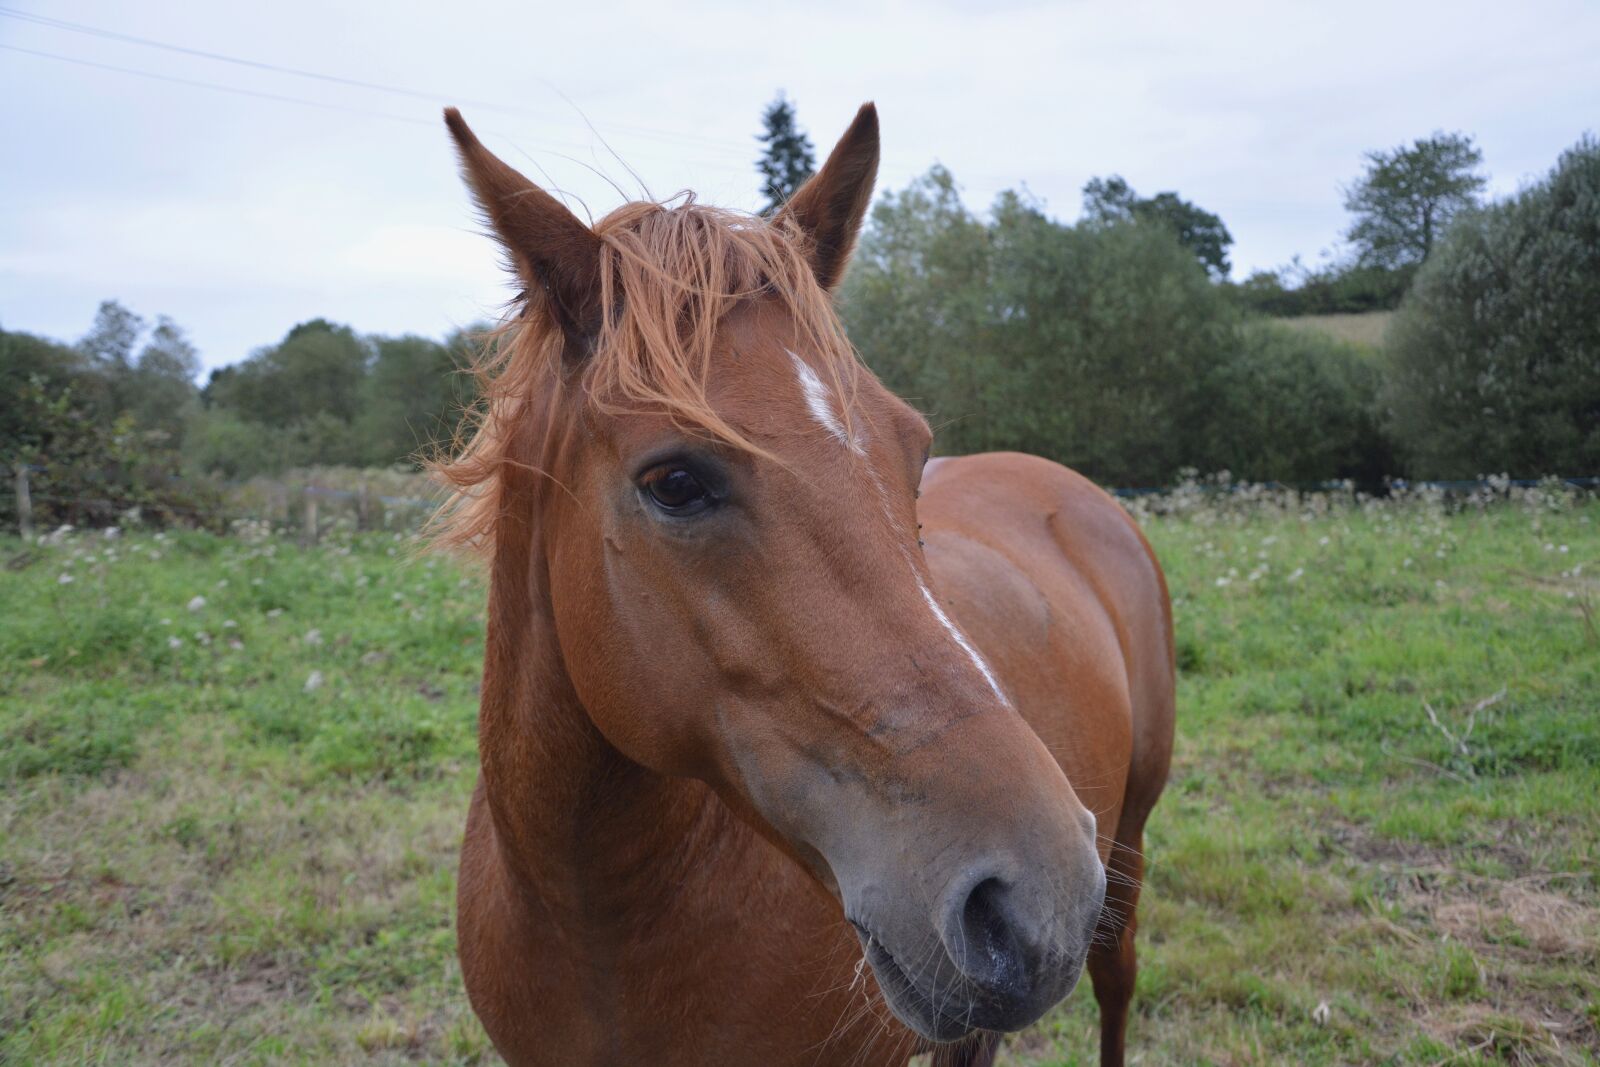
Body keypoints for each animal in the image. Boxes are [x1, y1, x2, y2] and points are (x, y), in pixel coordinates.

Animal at [433, 102, 1175, 1067]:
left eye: (914, 448)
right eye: (675, 481)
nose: (1034, 895)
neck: (599, 919)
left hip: (1128, 847)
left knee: (1117, 979)